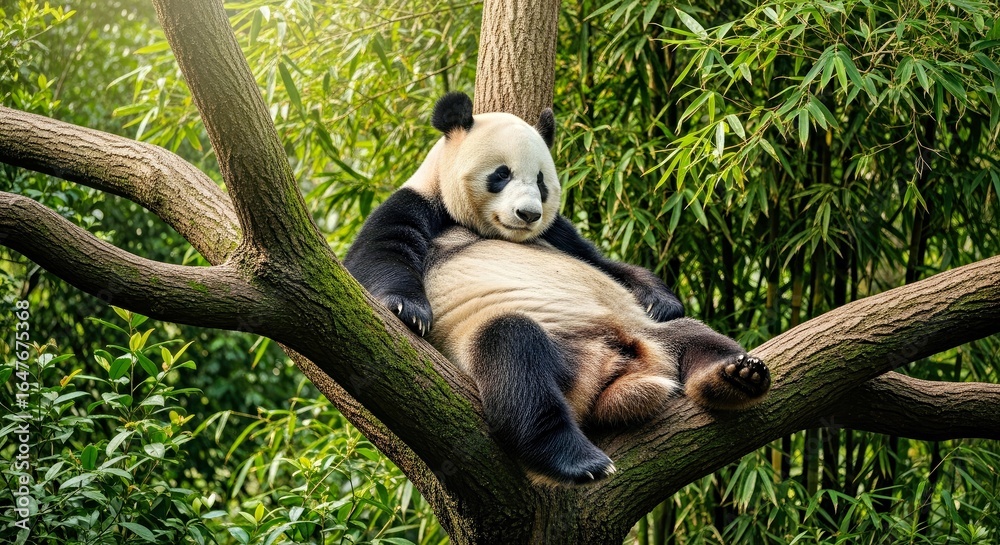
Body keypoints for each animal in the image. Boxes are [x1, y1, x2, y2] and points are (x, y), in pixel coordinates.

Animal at [344, 93, 771, 485]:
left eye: (541, 181)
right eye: (501, 174)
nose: (528, 214)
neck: (477, 225)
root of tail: (610, 374)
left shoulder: (558, 233)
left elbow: (604, 263)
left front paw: (661, 300)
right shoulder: (415, 203)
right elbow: (378, 253)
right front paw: (409, 310)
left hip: (647, 335)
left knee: (696, 336)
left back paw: (735, 376)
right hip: (525, 345)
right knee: (514, 360)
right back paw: (577, 459)